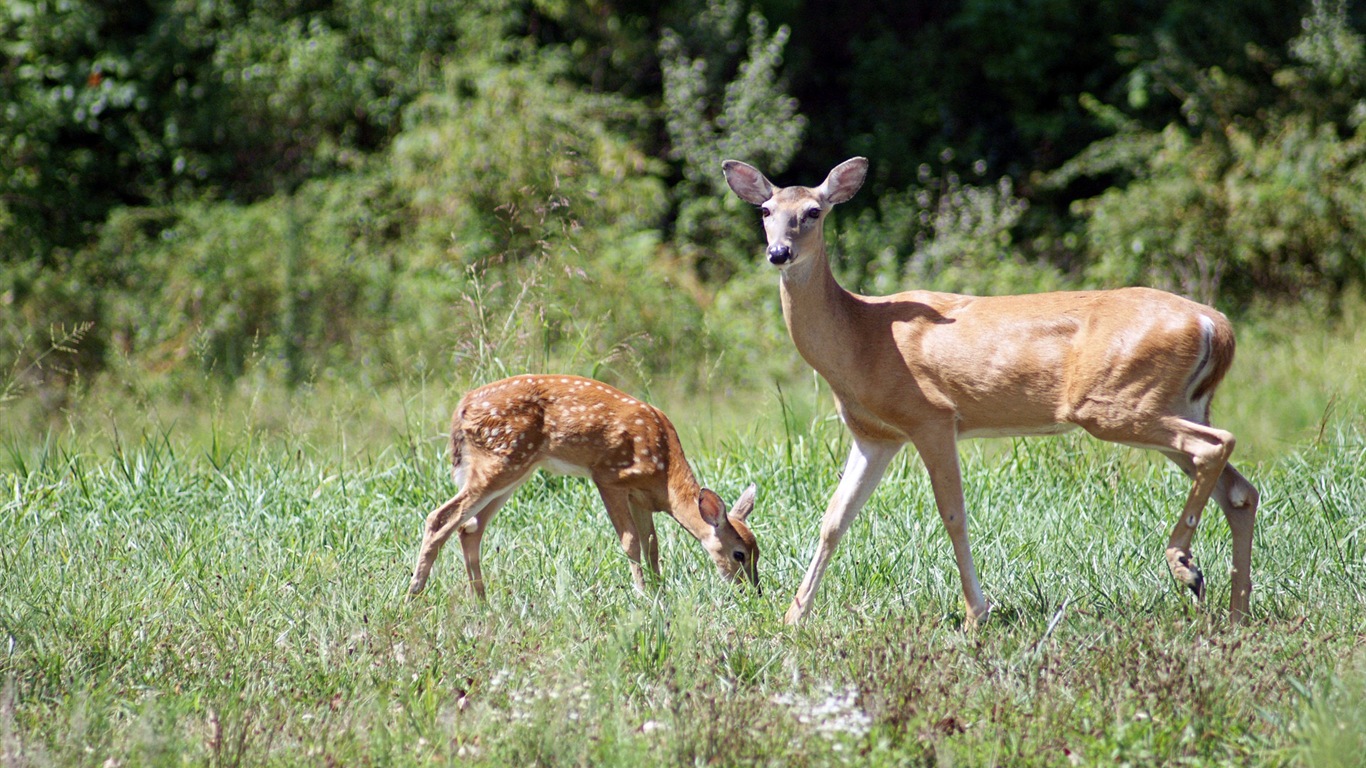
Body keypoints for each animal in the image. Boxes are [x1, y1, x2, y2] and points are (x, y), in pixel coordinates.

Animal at [407, 374, 759, 595]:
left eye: (759, 551)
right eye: (739, 554)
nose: (753, 591)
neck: (664, 476)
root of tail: (461, 408)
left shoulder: (640, 498)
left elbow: (652, 545)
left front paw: (661, 591)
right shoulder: (608, 476)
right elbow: (631, 542)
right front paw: (644, 595)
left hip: (515, 470)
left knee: (470, 529)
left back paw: (481, 602)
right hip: (499, 461)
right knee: (440, 518)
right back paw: (414, 594)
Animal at [726, 153, 1256, 623]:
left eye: (813, 212)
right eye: (766, 211)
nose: (778, 252)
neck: (861, 337)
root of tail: (1216, 324)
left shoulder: (931, 415)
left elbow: (953, 515)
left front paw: (976, 613)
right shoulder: (877, 435)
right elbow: (834, 519)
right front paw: (794, 618)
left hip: (1115, 402)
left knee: (1218, 445)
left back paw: (1185, 567)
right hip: (1177, 401)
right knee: (1239, 490)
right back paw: (1236, 612)